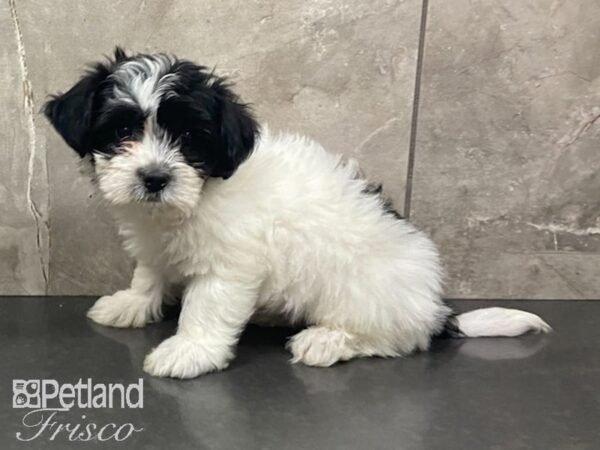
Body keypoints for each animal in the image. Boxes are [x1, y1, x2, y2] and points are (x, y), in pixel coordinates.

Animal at [42, 49, 552, 378]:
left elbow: (205, 308)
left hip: (366, 295)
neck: (199, 195)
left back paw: (327, 340)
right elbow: (149, 272)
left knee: (394, 337)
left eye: (189, 139)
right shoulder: (154, 240)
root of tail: (435, 308)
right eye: (122, 131)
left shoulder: (229, 265)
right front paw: (131, 303)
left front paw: (189, 350)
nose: (154, 178)